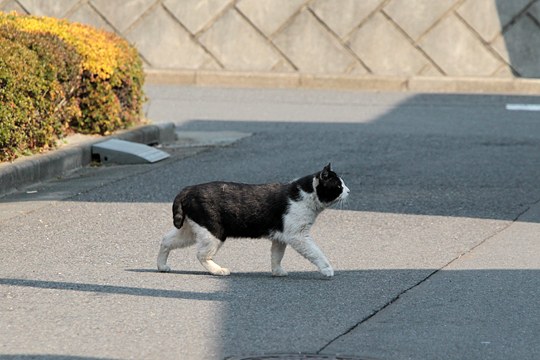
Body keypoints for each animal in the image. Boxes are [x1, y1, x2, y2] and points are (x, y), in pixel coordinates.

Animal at [156, 165, 350, 278]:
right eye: (338, 186)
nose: (349, 191)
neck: (306, 196)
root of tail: (187, 189)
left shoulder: (281, 237)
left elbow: (276, 256)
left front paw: (277, 271)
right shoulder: (299, 236)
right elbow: (316, 253)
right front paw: (327, 269)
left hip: (191, 230)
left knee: (165, 241)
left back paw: (161, 266)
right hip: (214, 233)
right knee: (201, 255)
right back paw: (218, 270)